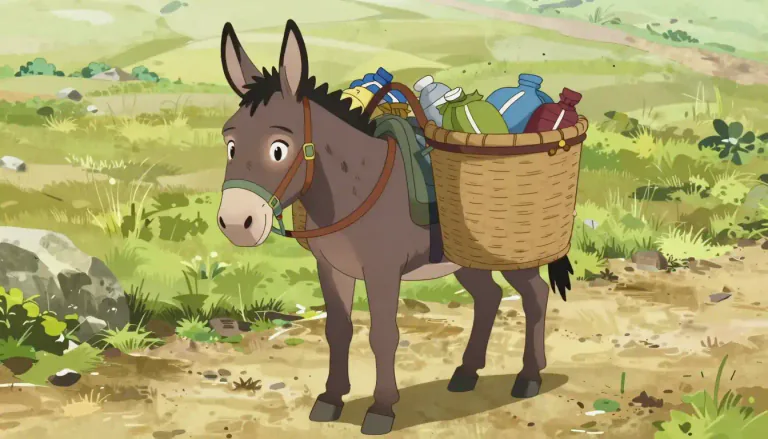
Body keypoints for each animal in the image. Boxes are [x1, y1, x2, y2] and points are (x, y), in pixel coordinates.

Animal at [216, 19, 573, 435]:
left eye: (278, 148)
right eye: (229, 142)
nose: (237, 223)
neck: (357, 185)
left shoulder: (383, 272)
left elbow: (383, 335)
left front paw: (382, 409)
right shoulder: (332, 269)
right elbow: (338, 331)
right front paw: (330, 399)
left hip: (510, 252)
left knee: (535, 295)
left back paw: (529, 376)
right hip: (465, 259)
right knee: (489, 297)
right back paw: (467, 373)